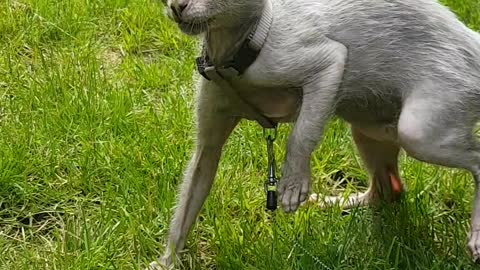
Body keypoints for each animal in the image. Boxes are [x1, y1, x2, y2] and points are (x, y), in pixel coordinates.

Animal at [147, 0, 480, 266]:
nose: (177, 6)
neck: (230, 56)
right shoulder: (207, 145)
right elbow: (186, 205)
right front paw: (167, 263)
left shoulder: (326, 62)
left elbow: (301, 134)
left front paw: (293, 185)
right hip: (369, 127)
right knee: (389, 191)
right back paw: (334, 203)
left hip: (419, 131)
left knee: (474, 160)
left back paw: (476, 235)